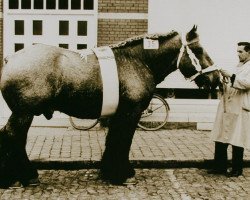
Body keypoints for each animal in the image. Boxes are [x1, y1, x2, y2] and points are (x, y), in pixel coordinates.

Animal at [0, 25, 219, 188]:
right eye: (199, 50)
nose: (216, 78)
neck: (137, 60)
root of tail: (11, 59)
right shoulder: (131, 113)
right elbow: (123, 140)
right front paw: (123, 174)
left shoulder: (118, 114)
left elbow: (113, 140)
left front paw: (109, 171)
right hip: (24, 113)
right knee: (13, 136)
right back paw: (23, 176)